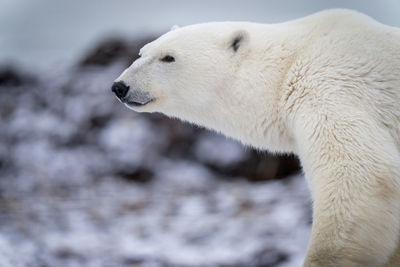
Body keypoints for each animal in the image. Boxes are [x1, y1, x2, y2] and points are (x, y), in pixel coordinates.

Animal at [111, 9, 400, 266]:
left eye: (168, 57)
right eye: (142, 52)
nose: (119, 87)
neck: (286, 66)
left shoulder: (330, 86)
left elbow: (361, 176)